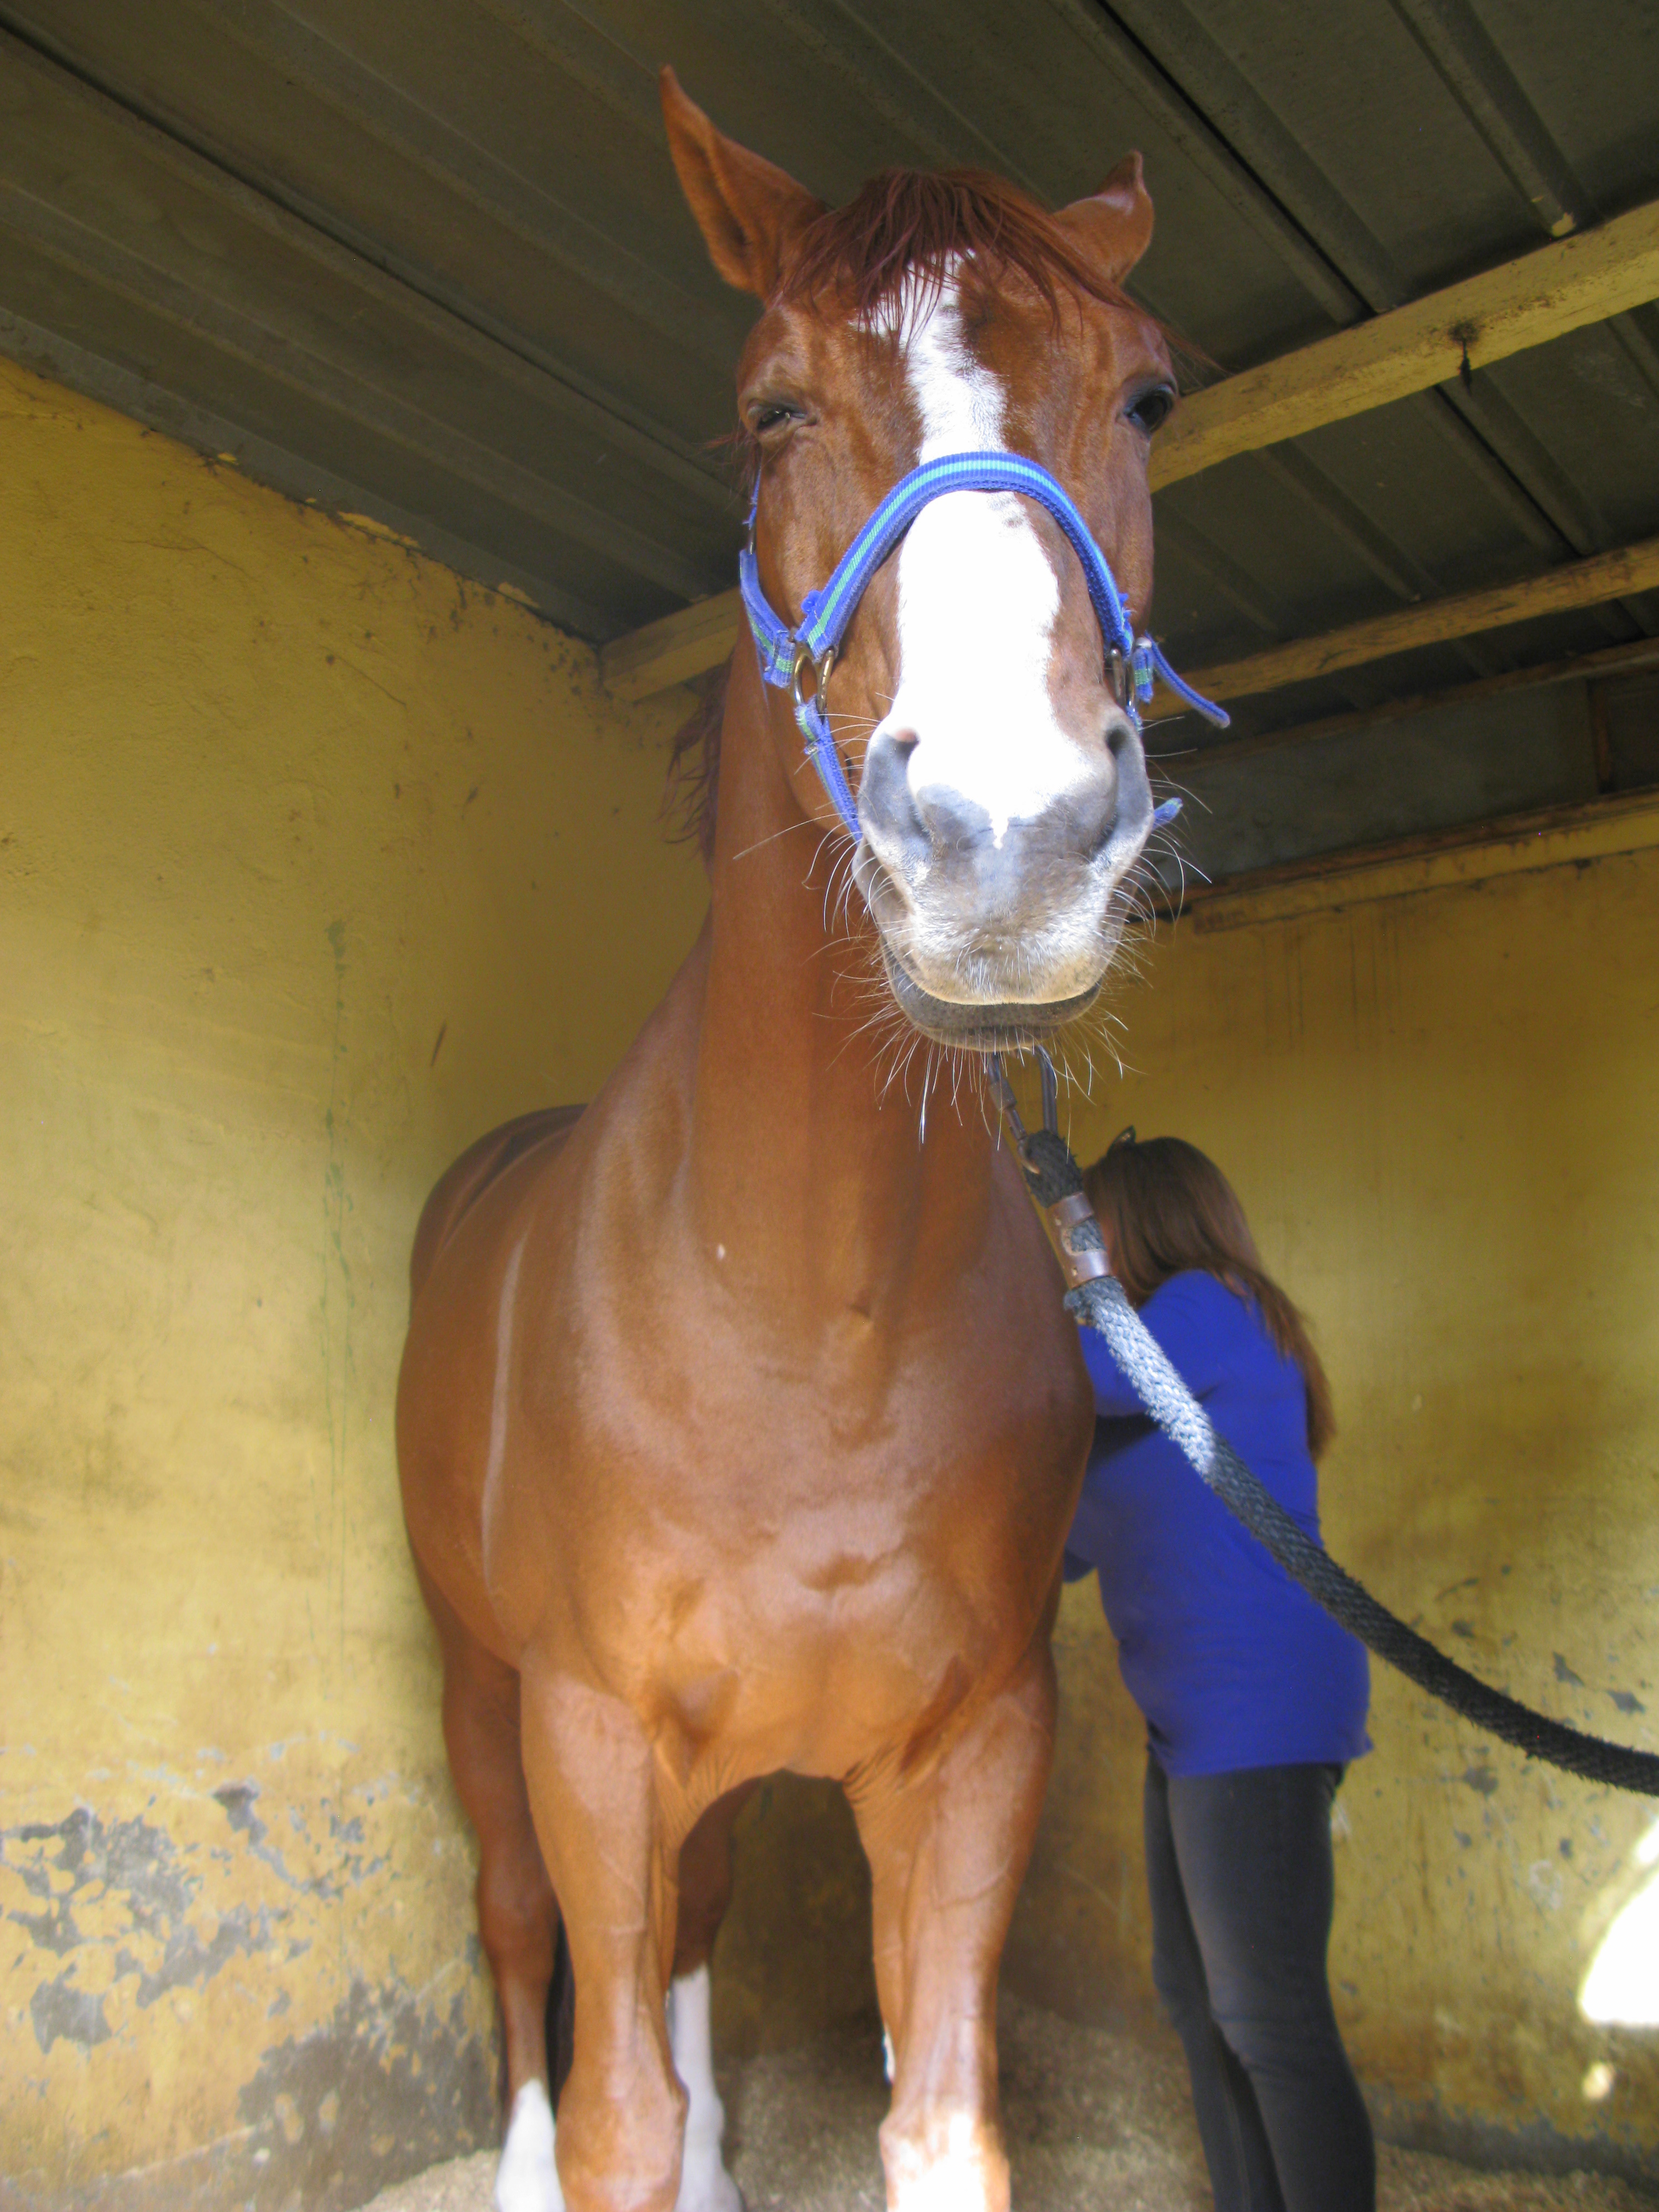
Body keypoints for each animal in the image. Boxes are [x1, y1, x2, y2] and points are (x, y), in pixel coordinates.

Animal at [396, 67, 1179, 2212]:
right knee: (518, 1924)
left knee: (700, 1922)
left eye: (1147, 395)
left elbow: (937, 2118)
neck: (807, 1312)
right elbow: (610, 2110)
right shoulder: (587, 1731)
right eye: (768, 408)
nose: (1005, 849)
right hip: (481, 1689)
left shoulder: (975, 1753)